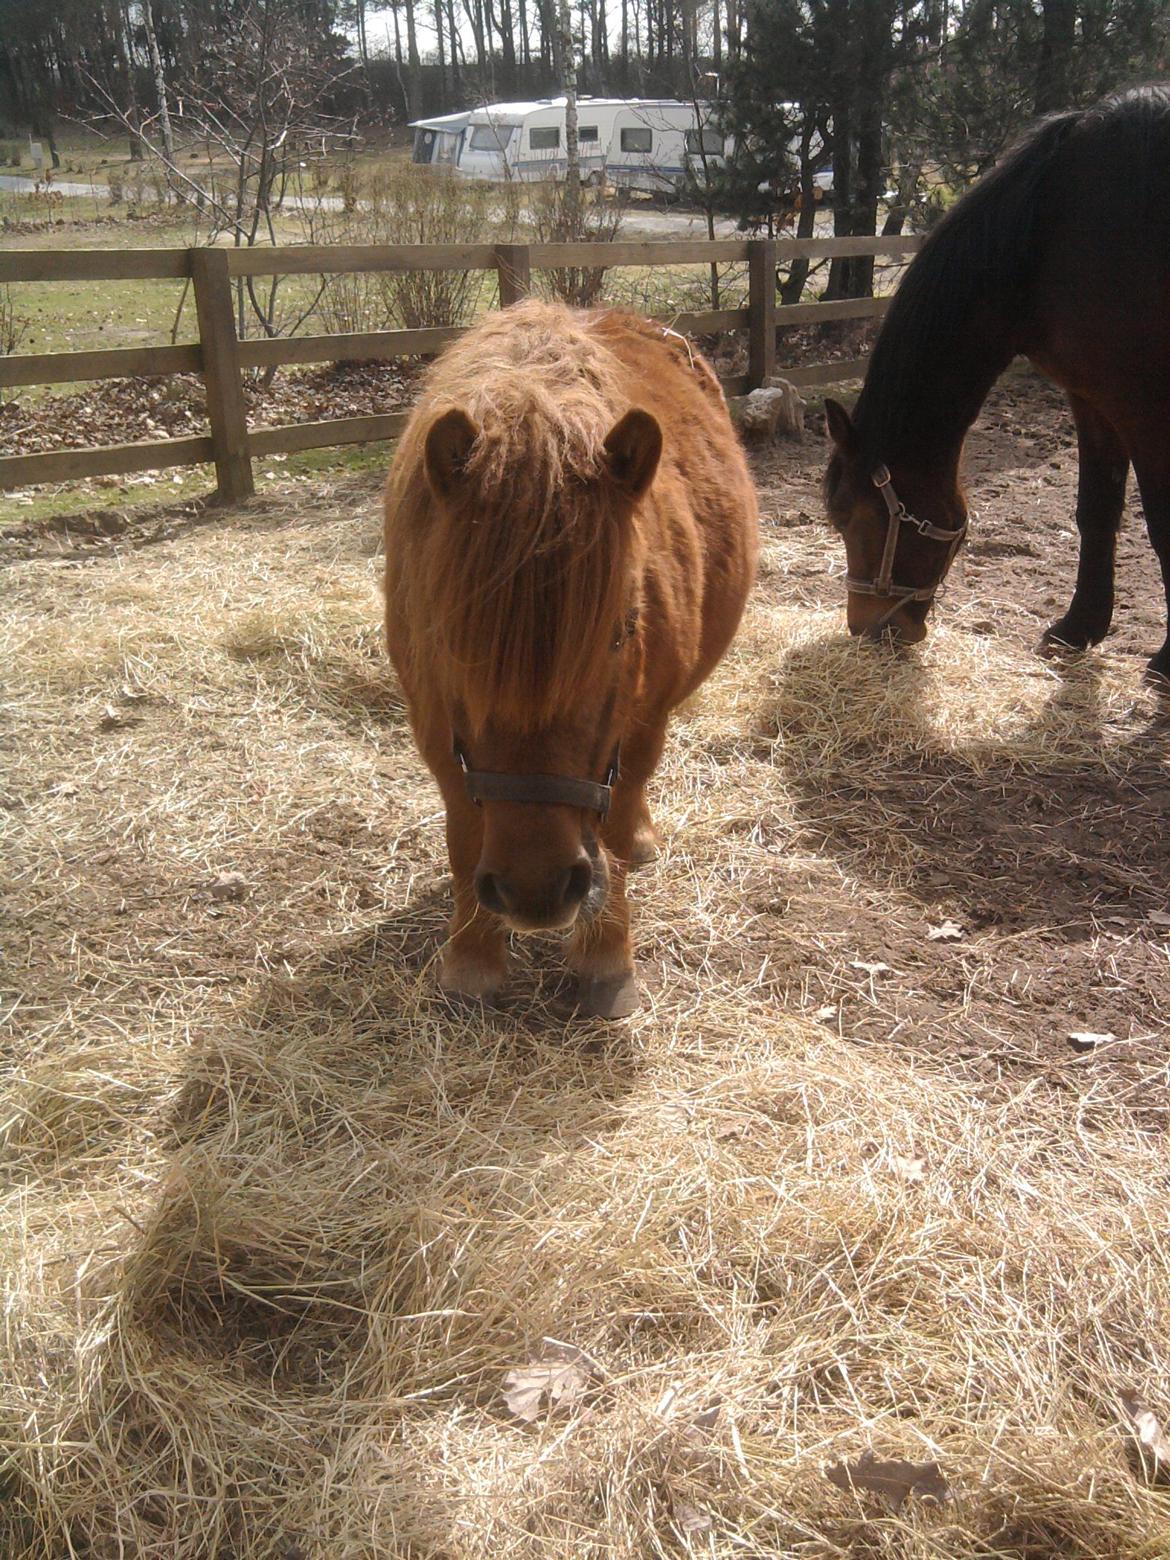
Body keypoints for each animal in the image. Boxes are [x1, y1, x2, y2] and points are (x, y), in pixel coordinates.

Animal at [385, 297, 761, 1017]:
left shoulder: (632, 727)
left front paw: (607, 958)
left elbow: (612, 823)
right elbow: (463, 832)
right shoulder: (436, 730)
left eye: (621, 631)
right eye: (450, 641)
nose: (534, 889)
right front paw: (472, 959)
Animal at [823, 86, 1170, 677]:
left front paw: (1166, 663)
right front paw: (1079, 628)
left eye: (848, 515)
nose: (870, 629)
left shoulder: (1144, 410)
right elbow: (1096, 509)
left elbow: (1163, 527)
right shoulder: (1092, 400)